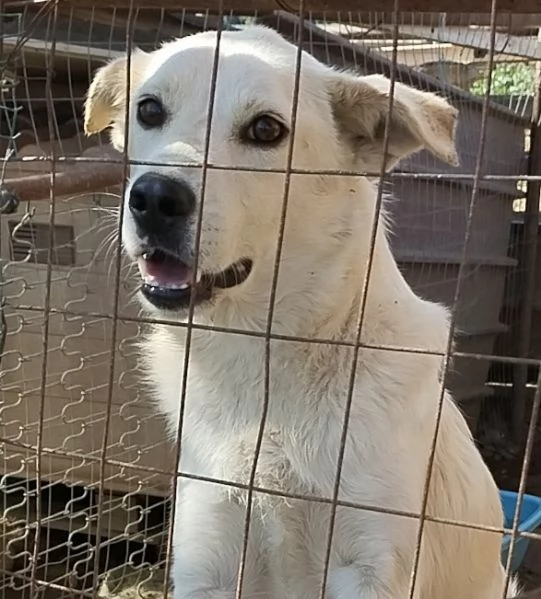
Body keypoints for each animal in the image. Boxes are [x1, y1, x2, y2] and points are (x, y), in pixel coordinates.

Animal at [85, 24, 520, 599]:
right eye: (149, 110)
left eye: (266, 129)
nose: (154, 197)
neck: (268, 359)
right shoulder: (209, 558)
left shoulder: (372, 568)